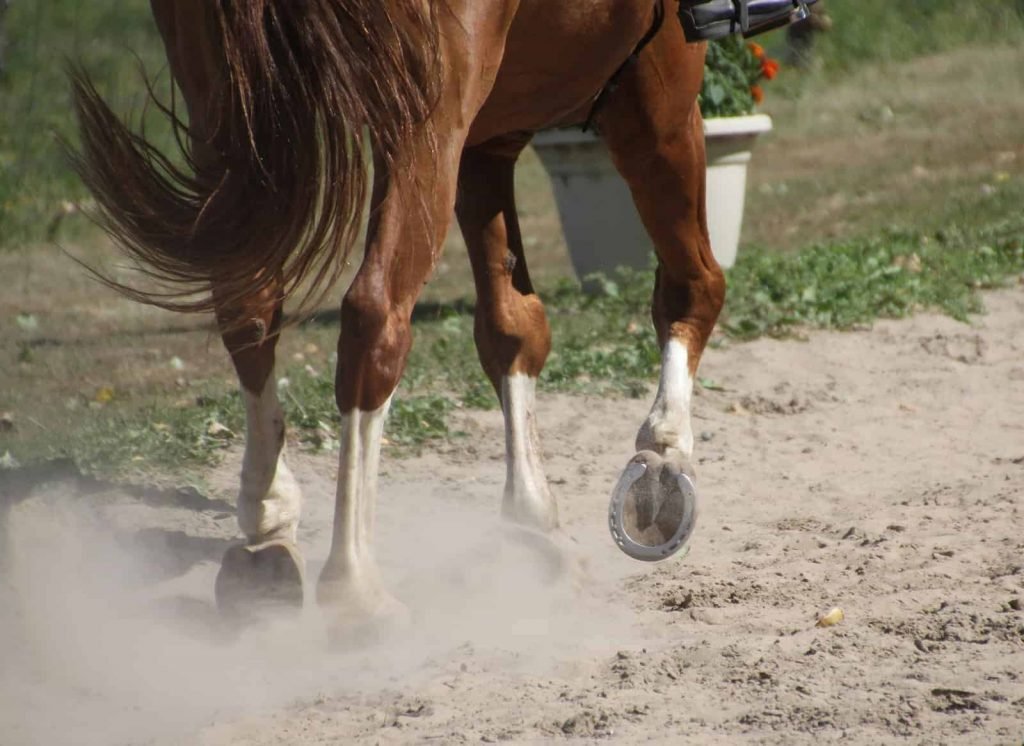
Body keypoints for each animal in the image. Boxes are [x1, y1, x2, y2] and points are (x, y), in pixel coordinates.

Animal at [70, 0, 724, 626]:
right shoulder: (657, 94)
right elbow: (694, 286)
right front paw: (662, 462)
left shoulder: (486, 140)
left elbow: (512, 326)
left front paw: (531, 519)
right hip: (421, 125)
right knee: (374, 316)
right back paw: (354, 586)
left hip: (224, 111)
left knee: (247, 302)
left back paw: (267, 530)